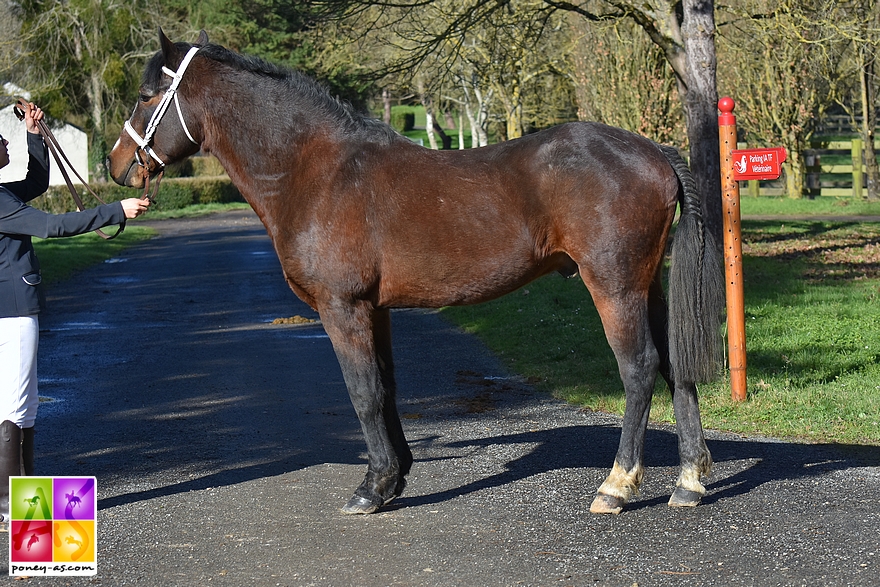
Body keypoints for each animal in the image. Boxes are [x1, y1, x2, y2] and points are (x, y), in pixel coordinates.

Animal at [108, 31, 720, 516]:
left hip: (614, 285)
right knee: (675, 366)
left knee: (639, 370)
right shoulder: (375, 309)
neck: (316, 171)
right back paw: (688, 482)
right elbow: (387, 387)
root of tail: (654, 153)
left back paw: (616, 486)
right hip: (647, 284)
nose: (115, 166)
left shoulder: (342, 308)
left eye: (145, 96)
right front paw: (394, 477)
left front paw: (370, 488)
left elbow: (362, 393)